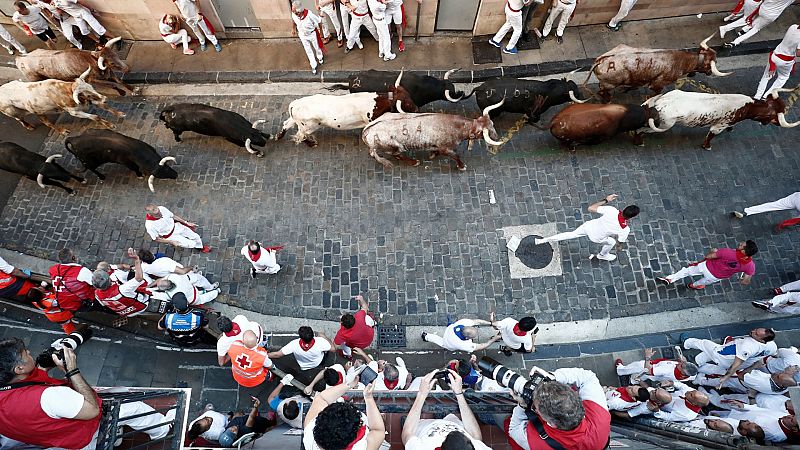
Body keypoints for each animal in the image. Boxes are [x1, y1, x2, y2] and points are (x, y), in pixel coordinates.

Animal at [588, 34, 732, 102]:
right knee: (604, 92)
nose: (709, 73)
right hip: (608, 85)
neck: (681, 61)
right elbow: (655, 94)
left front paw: (628, 89)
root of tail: (600, 60)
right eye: (710, 64)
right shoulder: (658, 85)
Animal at [644, 89, 800, 150]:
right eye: (773, 116)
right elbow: (711, 136)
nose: (777, 124)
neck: (746, 106)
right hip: (664, 125)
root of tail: (661, 101)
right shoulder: (718, 126)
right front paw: (707, 146)